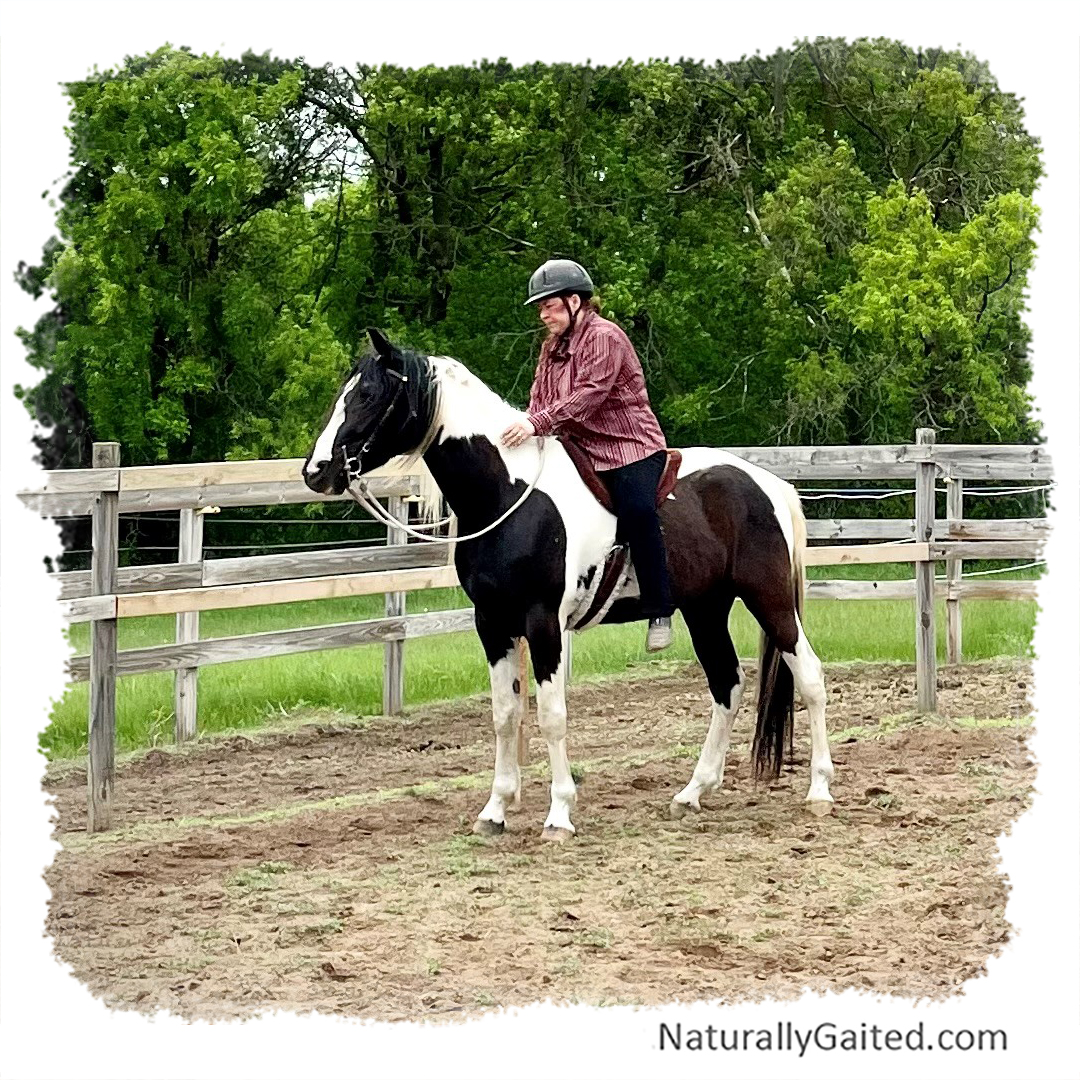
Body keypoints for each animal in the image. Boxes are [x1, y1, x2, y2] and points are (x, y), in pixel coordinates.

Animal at [303, 329, 834, 840]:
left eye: (369, 394)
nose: (315, 472)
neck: (508, 494)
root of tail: (770, 485)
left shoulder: (543, 624)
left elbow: (551, 716)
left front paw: (559, 815)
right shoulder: (492, 624)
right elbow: (505, 714)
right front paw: (495, 810)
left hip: (769, 600)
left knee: (808, 676)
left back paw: (820, 791)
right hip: (706, 609)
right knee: (727, 684)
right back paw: (692, 792)